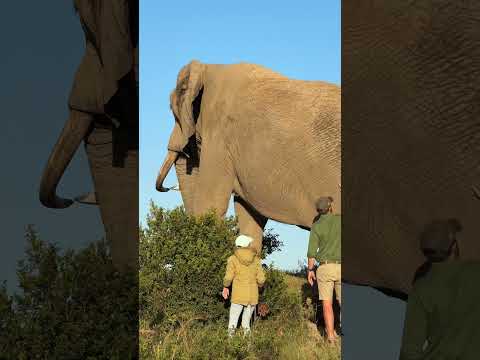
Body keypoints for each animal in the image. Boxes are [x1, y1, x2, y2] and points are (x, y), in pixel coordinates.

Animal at [156, 59, 340, 253]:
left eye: (172, 110)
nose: (168, 188)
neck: (210, 67)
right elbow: (249, 214)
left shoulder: (220, 138)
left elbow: (210, 204)